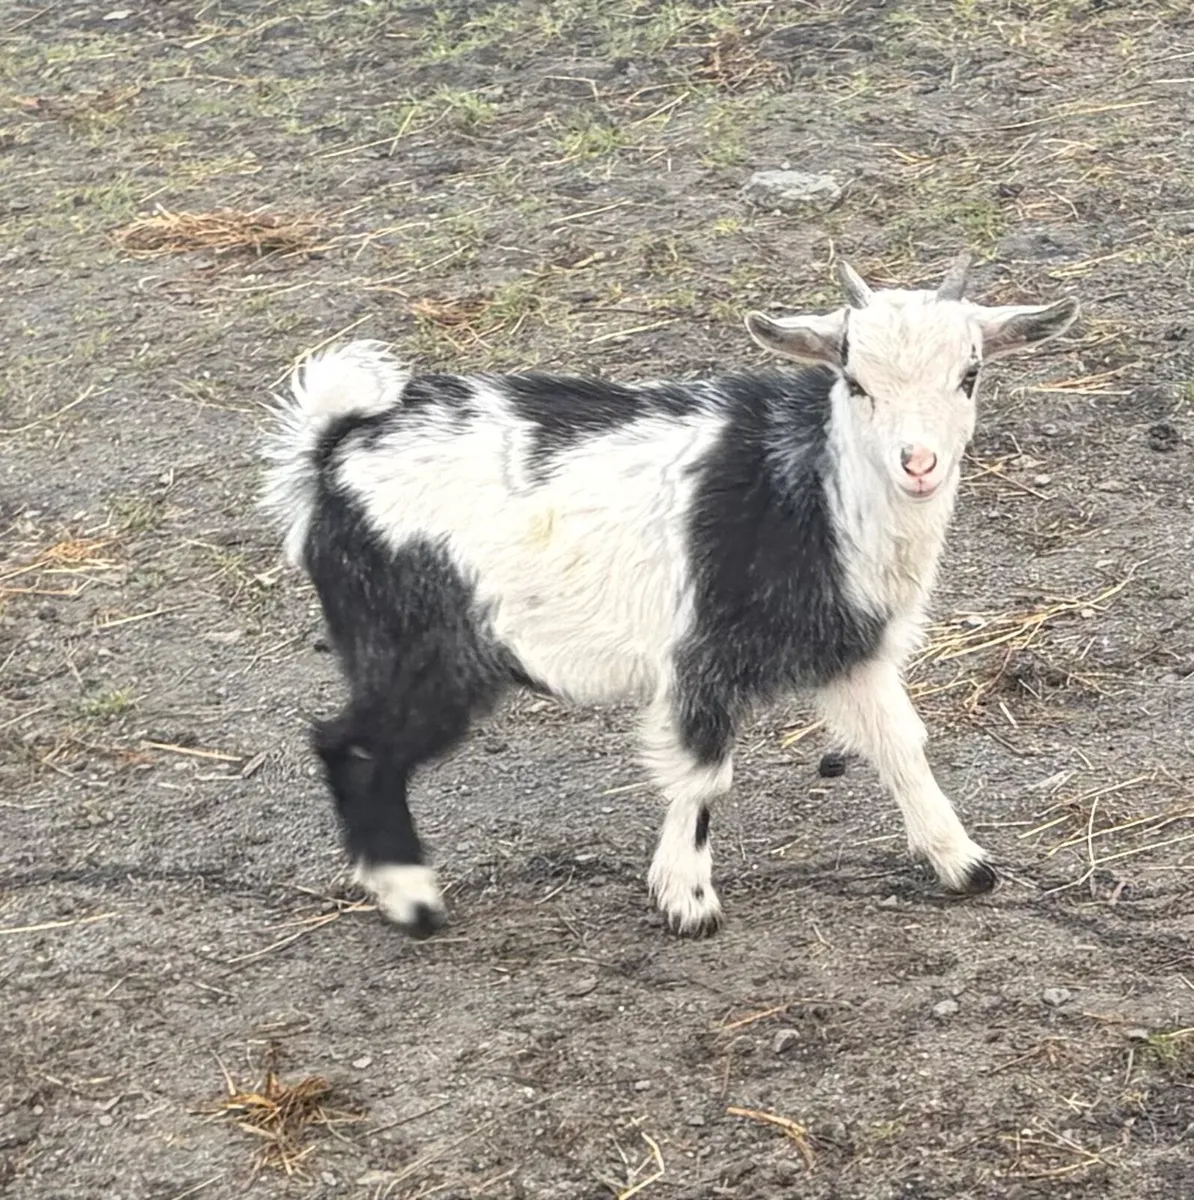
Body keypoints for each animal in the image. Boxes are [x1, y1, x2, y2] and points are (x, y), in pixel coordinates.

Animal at [261, 256, 1078, 937]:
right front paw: (687, 901)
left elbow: (900, 744)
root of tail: (331, 452)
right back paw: (412, 899)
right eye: (854, 381)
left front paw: (963, 864)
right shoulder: (702, 657)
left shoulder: (850, 652)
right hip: (420, 645)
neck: (814, 492)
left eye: (970, 374)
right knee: (350, 744)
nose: (919, 464)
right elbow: (703, 772)